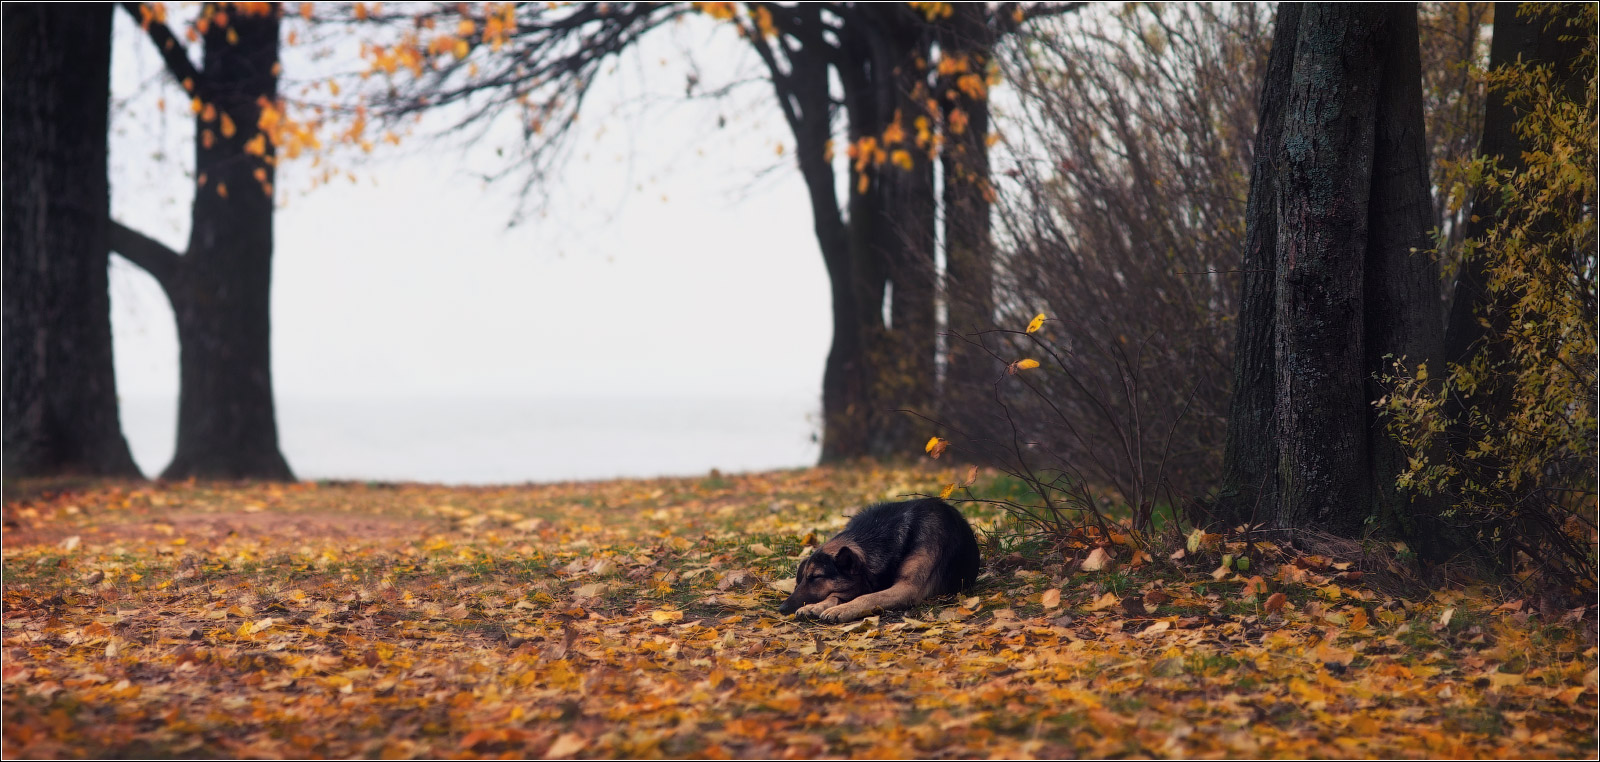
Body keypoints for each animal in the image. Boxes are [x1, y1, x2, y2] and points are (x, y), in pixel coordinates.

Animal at [777, 496, 979, 621]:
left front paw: (842, 609)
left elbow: (867, 598)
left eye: (816, 577)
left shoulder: (907, 588)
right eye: (802, 579)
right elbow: (839, 594)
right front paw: (818, 606)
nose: (781, 608)